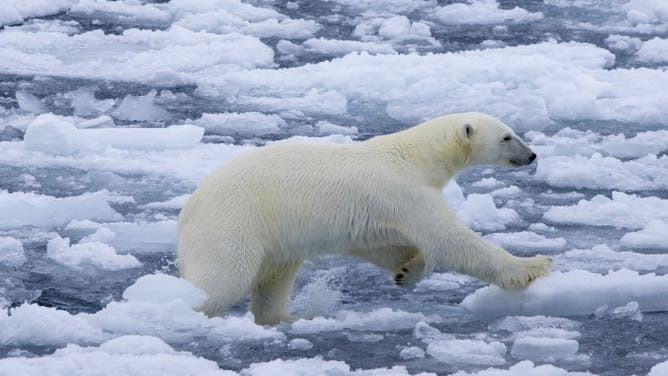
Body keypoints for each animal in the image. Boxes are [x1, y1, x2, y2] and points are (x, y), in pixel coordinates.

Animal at [176, 111, 548, 324]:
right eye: (507, 136)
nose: (531, 155)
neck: (415, 157)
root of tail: (189, 209)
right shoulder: (405, 192)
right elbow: (449, 240)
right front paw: (533, 265)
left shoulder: (373, 213)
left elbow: (384, 245)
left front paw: (407, 271)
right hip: (234, 223)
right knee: (222, 279)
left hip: (273, 238)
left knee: (274, 279)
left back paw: (287, 317)